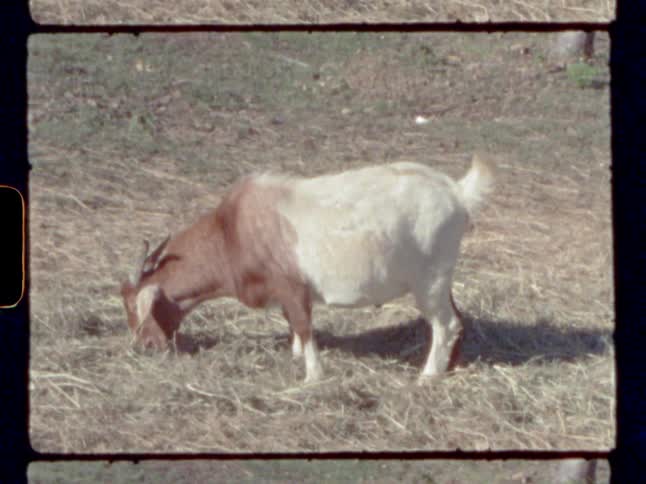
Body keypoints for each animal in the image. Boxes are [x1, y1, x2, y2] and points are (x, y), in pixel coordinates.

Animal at [121, 154, 493, 383]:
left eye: (135, 307)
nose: (145, 346)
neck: (230, 233)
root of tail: (456, 192)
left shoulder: (292, 286)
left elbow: (302, 324)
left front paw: (313, 375)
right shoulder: (287, 294)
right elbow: (293, 324)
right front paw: (297, 357)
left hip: (429, 280)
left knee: (445, 323)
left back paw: (427, 376)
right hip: (440, 280)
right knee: (456, 320)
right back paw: (449, 366)